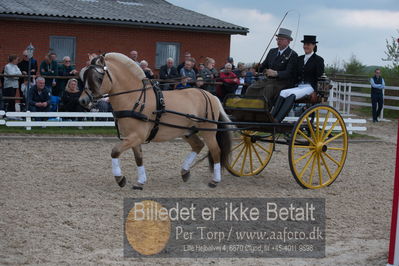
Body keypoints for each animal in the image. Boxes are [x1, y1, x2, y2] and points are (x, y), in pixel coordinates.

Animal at [78, 52, 233, 189]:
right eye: (84, 76)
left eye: (98, 77)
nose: (83, 100)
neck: (134, 98)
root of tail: (210, 95)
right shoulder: (132, 137)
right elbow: (138, 158)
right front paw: (140, 182)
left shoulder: (136, 136)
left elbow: (115, 151)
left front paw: (120, 179)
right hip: (186, 131)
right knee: (198, 145)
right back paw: (185, 172)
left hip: (209, 131)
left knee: (215, 150)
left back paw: (214, 180)